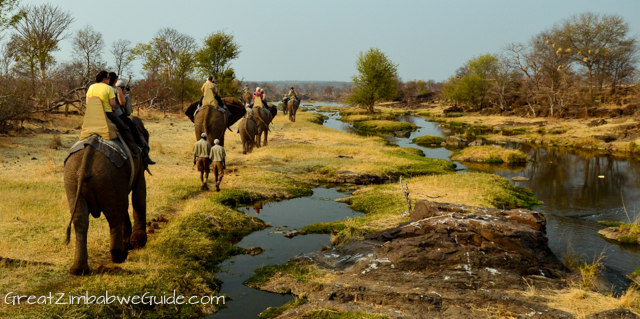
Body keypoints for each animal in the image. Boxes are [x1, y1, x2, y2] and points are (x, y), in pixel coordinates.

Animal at [64, 116, 150, 276]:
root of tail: (85, 162)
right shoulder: (139, 163)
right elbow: (139, 193)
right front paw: (138, 242)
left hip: (71, 179)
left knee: (81, 220)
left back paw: (78, 270)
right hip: (109, 176)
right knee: (114, 216)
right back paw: (120, 257)